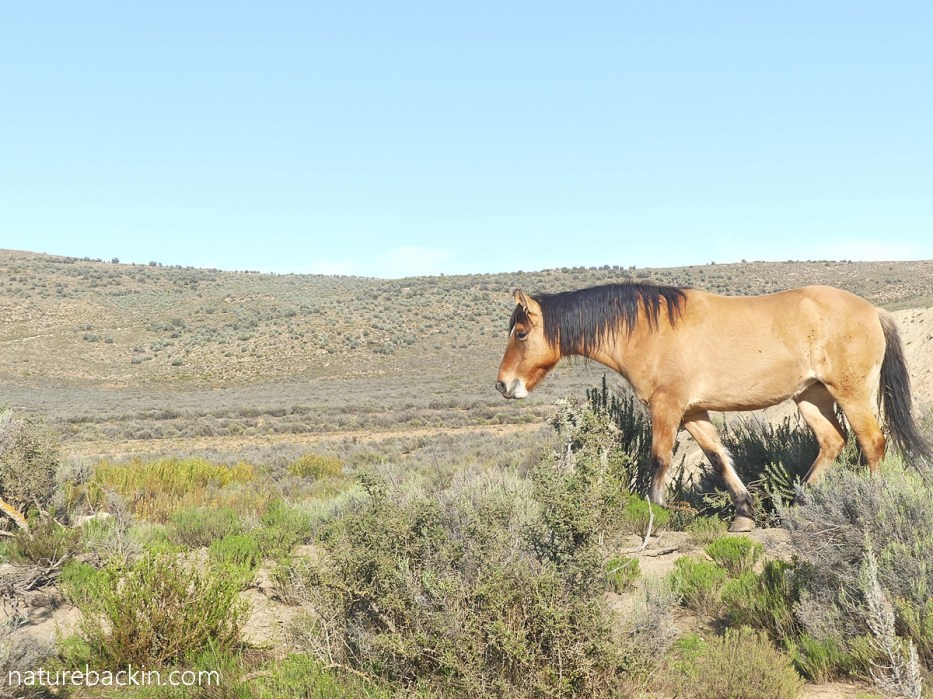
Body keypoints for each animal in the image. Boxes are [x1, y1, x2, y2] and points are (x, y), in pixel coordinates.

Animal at [495, 282, 931, 531]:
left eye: (521, 333)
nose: (503, 384)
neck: (647, 329)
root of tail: (874, 311)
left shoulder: (666, 407)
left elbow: (659, 459)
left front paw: (659, 513)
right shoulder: (693, 413)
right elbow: (719, 459)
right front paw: (743, 515)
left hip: (850, 393)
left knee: (872, 443)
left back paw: (872, 503)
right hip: (810, 396)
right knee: (833, 442)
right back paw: (796, 506)